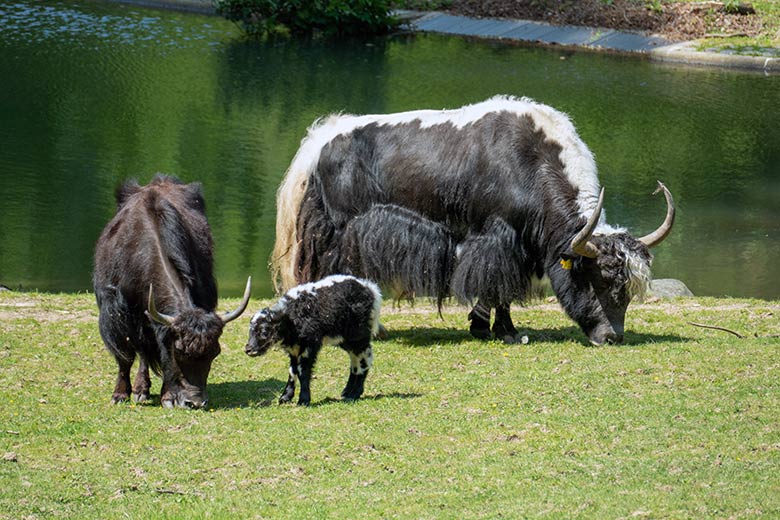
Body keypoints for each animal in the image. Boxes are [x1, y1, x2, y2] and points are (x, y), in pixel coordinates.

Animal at [242, 274, 380, 404]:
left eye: (264, 331)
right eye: (250, 331)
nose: (249, 349)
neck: (292, 317)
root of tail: (370, 289)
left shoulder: (309, 345)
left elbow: (302, 371)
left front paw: (303, 400)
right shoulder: (294, 349)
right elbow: (292, 371)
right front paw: (285, 397)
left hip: (358, 335)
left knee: (365, 358)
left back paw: (355, 393)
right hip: (345, 339)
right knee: (355, 360)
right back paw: (347, 392)